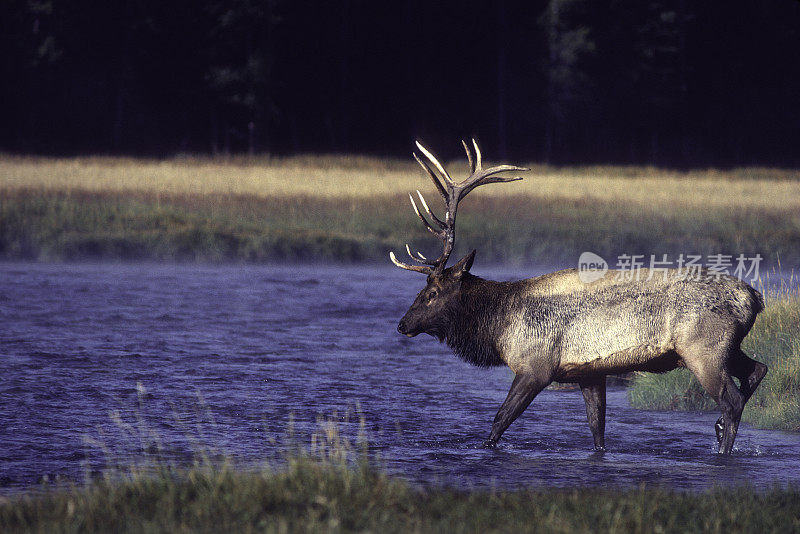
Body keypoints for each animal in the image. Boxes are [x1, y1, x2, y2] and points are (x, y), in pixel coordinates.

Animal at [390, 141, 764, 456]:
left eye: (432, 293)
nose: (402, 324)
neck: (498, 325)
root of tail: (753, 298)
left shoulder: (535, 367)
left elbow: (499, 421)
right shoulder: (589, 374)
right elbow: (597, 431)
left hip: (702, 350)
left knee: (731, 400)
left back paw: (721, 448)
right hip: (724, 347)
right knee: (758, 369)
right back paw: (719, 427)